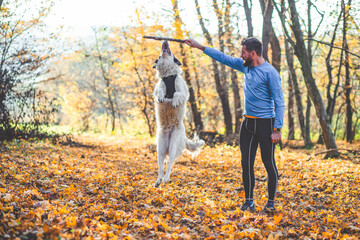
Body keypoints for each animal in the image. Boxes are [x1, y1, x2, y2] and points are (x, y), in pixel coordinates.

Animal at [153, 40, 205, 188]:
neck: (168, 76)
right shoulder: (159, 87)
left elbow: (176, 93)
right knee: (161, 165)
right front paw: (162, 96)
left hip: (173, 145)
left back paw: (166, 178)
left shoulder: (182, 92)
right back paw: (159, 180)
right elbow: (160, 91)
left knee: (170, 163)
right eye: (160, 55)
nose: (165, 41)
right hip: (160, 148)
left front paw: (174, 101)